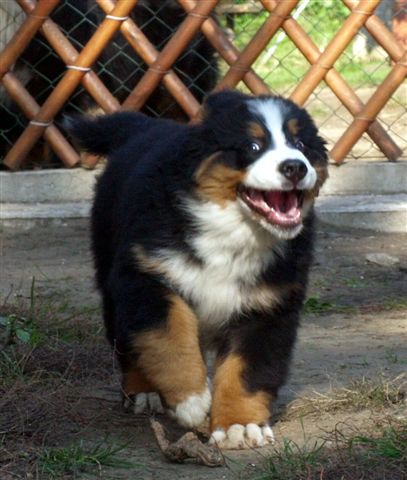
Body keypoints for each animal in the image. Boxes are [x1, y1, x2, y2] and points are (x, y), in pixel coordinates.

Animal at [67, 90, 328, 449]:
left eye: (301, 145)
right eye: (253, 146)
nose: (295, 167)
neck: (234, 234)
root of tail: (145, 127)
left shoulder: (267, 306)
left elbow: (245, 370)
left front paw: (239, 426)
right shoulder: (148, 279)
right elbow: (170, 340)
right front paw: (191, 402)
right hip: (114, 282)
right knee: (128, 340)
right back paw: (143, 392)